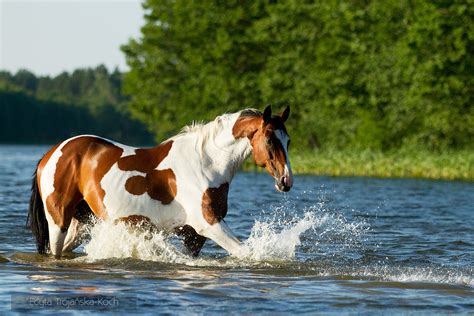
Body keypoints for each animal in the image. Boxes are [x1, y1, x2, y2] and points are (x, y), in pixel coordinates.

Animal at [26, 105, 292, 258]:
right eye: (270, 140)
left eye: (288, 140)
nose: (285, 180)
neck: (205, 165)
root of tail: (51, 154)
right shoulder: (208, 224)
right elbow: (244, 252)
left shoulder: (194, 236)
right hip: (58, 220)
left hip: (80, 223)